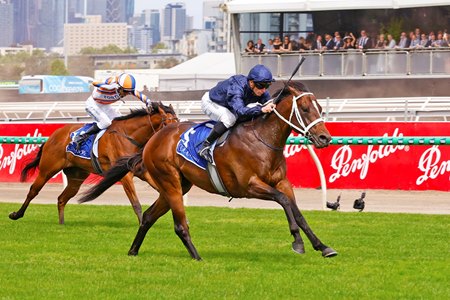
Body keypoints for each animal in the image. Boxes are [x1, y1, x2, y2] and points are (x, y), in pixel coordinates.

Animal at [8, 102, 178, 224]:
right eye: (168, 123)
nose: (173, 136)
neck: (129, 136)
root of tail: (52, 136)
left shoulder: (141, 172)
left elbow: (161, 189)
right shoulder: (125, 176)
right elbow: (135, 203)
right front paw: (142, 222)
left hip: (76, 177)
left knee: (62, 198)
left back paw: (62, 224)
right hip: (47, 169)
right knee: (33, 190)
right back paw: (17, 214)